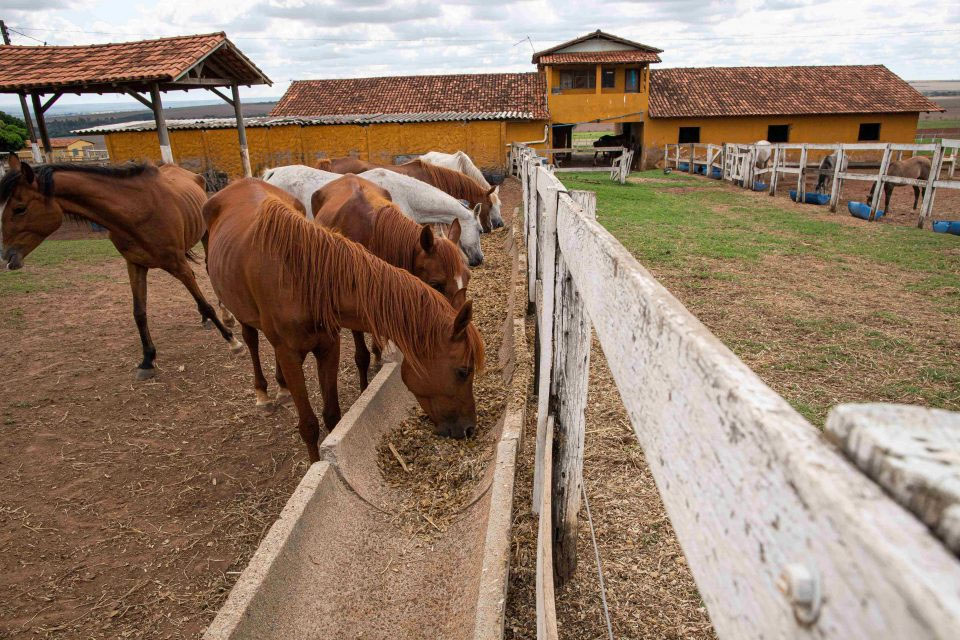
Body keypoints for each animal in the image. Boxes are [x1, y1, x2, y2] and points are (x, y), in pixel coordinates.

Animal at [0, 154, 240, 380]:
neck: (136, 210)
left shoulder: (177, 264)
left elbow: (204, 303)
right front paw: (147, 360)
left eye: (20, 209)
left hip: (205, 236)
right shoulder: (135, 264)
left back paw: (227, 316)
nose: (6, 255)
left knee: (208, 270)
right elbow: (139, 313)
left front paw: (232, 340)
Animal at [205, 178, 484, 462]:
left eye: (468, 277)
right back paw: (262, 393)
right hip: (240, 310)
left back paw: (282, 386)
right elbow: (309, 423)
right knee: (251, 339)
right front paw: (316, 462)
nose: (469, 428)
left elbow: (332, 414)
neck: (305, 280)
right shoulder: (297, 351)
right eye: (463, 371)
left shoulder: (329, 345)